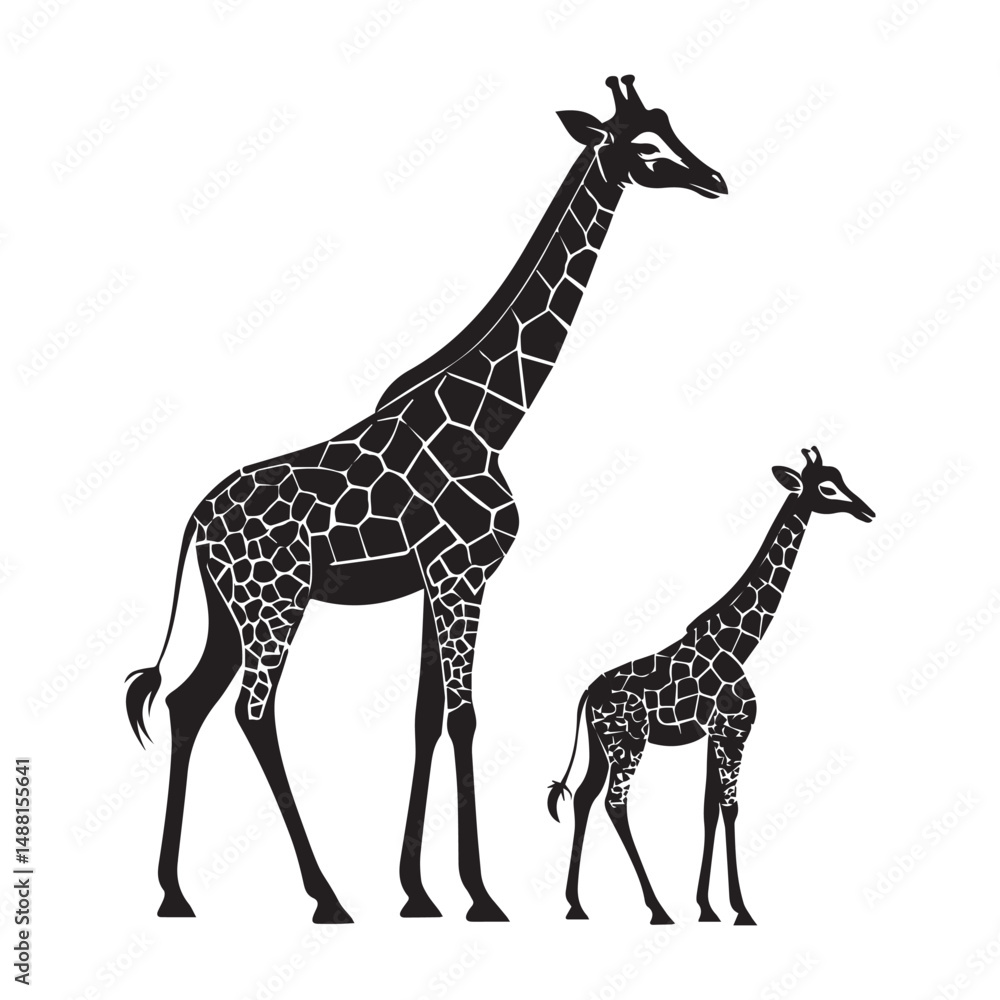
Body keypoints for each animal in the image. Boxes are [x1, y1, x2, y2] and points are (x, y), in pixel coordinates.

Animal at [125, 74, 727, 925]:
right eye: (643, 145)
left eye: (673, 128)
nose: (715, 178)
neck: (495, 419)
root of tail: (196, 522)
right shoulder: (461, 575)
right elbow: (464, 717)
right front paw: (479, 894)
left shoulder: (431, 581)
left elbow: (423, 718)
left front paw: (417, 890)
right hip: (276, 601)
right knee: (252, 712)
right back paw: (325, 894)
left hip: (228, 608)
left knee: (187, 705)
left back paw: (176, 894)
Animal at [547, 448, 875, 925]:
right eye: (828, 488)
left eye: (844, 479)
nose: (867, 510)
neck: (740, 644)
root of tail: (588, 694)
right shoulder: (735, 731)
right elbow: (730, 807)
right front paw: (740, 908)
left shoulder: (714, 734)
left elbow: (708, 809)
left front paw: (706, 907)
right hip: (629, 740)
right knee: (614, 802)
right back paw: (657, 907)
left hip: (601, 743)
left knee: (585, 797)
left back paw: (576, 905)